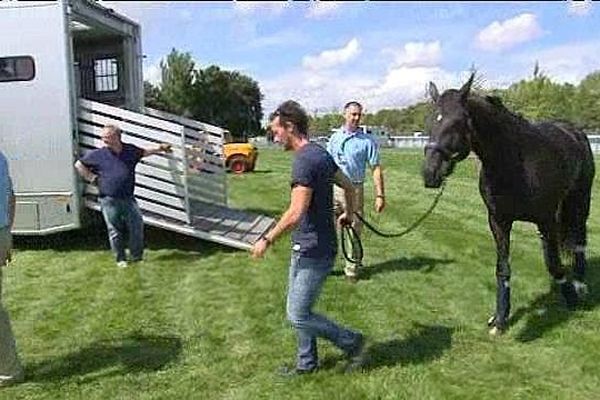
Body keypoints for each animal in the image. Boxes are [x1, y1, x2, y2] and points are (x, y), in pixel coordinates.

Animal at [422, 72, 596, 334]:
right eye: (431, 121)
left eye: (458, 122)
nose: (430, 174)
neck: (514, 162)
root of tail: (574, 132)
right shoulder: (499, 221)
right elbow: (503, 268)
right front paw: (500, 319)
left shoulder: (545, 219)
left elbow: (554, 265)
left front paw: (571, 298)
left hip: (580, 201)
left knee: (578, 240)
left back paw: (580, 285)